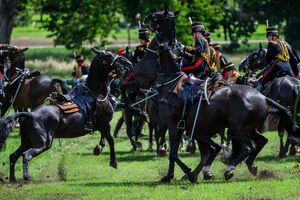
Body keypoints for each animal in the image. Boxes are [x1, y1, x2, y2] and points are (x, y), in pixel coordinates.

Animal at [0, 49, 132, 182]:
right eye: (109, 55)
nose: (128, 63)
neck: (95, 94)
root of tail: (30, 114)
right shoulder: (105, 124)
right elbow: (110, 140)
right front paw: (113, 161)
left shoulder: (101, 125)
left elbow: (104, 138)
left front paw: (98, 148)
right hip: (42, 143)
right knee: (25, 155)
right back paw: (26, 177)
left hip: (27, 142)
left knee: (13, 156)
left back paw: (13, 178)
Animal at [157, 43, 300, 183]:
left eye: (255, 55)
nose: (242, 65)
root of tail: (263, 97)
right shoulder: (191, 129)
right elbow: (209, 149)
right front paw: (185, 174)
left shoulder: (175, 127)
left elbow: (174, 154)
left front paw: (182, 174)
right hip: (249, 129)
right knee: (261, 142)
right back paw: (250, 164)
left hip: (239, 129)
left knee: (249, 148)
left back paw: (230, 169)